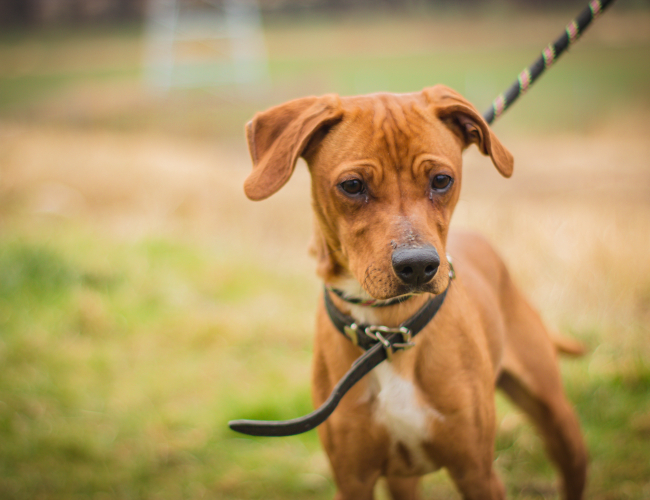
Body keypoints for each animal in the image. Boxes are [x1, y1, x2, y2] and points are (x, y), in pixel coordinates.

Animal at [240, 86, 584, 500]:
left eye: (441, 180)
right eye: (352, 185)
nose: (418, 265)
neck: (388, 330)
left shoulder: (477, 472)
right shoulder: (353, 478)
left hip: (555, 415)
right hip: (402, 478)